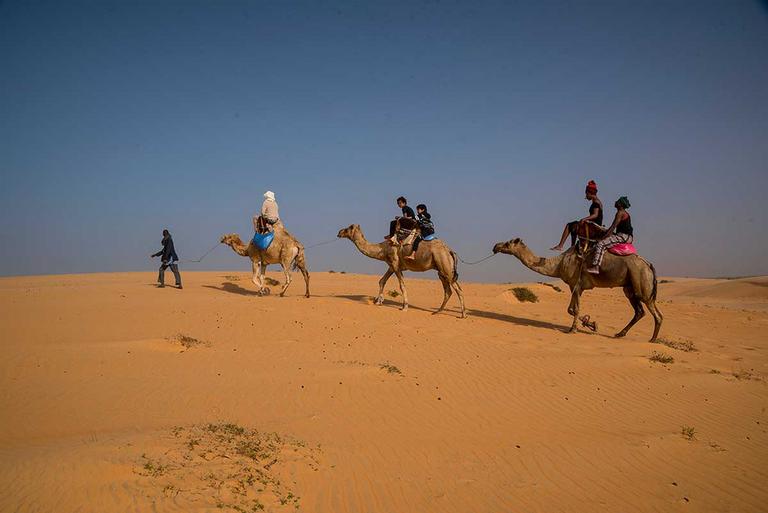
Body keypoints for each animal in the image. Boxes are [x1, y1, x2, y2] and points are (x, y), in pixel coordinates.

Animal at [338, 223, 468, 316]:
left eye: (349, 228)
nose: (339, 232)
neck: (382, 248)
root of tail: (450, 250)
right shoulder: (391, 265)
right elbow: (382, 281)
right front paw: (378, 301)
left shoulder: (395, 263)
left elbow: (402, 285)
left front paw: (404, 307)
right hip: (441, 270)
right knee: (448, 290)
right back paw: (437, 312)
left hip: (445, 265)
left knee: (458, 289)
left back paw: (463, 314)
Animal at [496, 239, 664, 342]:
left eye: (508, 243)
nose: (496, 246)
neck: (558, 264)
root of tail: (649, 264)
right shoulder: (576, 286)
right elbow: (571, 309)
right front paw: (591, 324)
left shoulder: (576, 284)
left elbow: (574, 309)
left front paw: (573, 329)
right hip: (629, 287)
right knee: (639, 311)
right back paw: (620, 333)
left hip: (641, 281)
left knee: (655, 312)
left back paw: (652, 339)